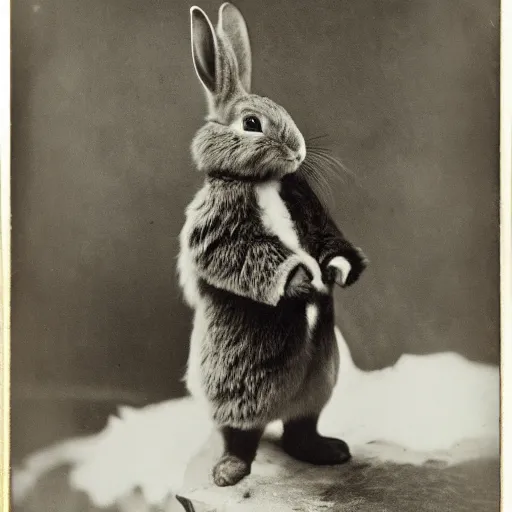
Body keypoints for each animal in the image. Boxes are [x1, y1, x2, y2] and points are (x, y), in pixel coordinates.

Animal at [178, 1, 366, 488]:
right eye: (251, 124)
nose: (299, 152)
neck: (261, 181)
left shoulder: (306, 204)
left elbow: (326, 238)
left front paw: (336, 272)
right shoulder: (220, 222)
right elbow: (233, 252)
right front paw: (303, 283)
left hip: (319, 376)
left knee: (302, 423)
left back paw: (326, 451)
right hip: (238, 378)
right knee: (239, 429)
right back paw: (229, 470)